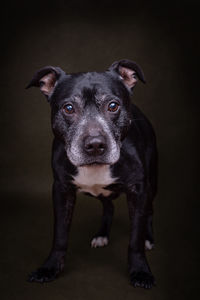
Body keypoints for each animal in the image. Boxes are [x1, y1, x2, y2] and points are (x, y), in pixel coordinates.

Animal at [26, 59, 158, 288]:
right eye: (68, 108)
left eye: (113, 106)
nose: (95, 144)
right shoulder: (61, 190)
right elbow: (60, 234)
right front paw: (50, 267)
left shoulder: (139, 190)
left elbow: (135, 237)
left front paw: (140, 270)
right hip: (97, 192)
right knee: (108, 206)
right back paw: (102, 234)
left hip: (153, 183)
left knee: (148, 212)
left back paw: (148, 238)